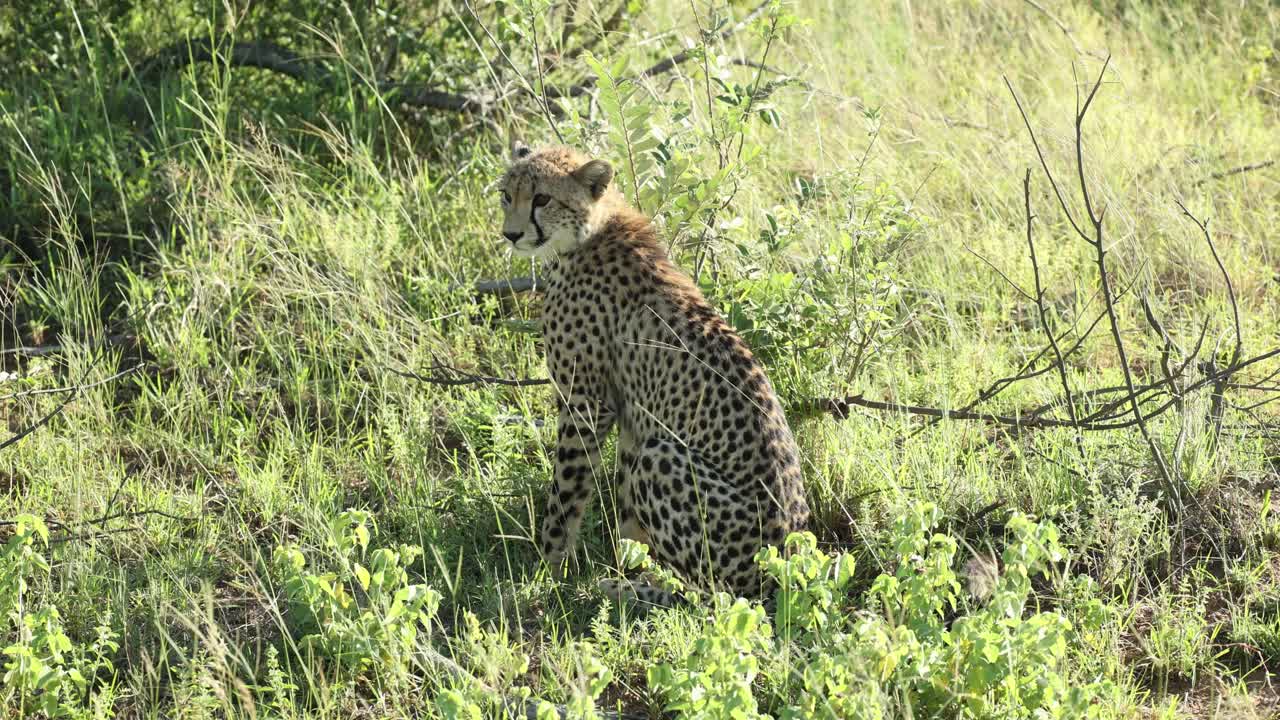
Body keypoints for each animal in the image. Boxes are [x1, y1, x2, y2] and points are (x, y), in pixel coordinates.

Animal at [497, 141, 810, 605]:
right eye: (506, 195)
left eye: (541, 199)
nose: (512, 235)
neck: (589, 232)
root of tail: (781, 576)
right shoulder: (630, 417)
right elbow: (627, 519)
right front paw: (625, 563)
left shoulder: (585, 404)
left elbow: (565, 494)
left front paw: (546, 569)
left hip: (662, 457)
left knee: (711, 600)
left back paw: (633, 591)